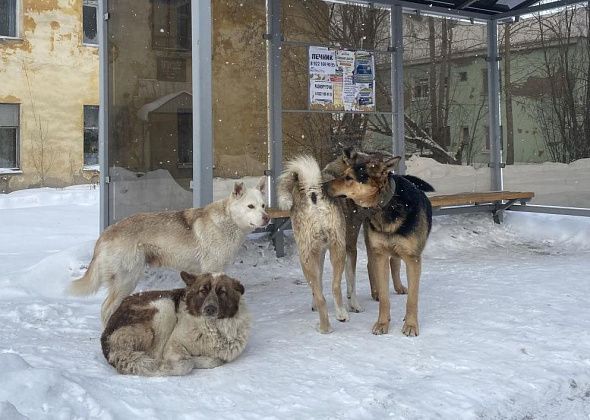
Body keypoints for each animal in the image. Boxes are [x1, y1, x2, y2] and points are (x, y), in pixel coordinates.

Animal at [68, 177, 270, 324]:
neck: (229, 222)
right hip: (128, 279)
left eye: (263, 206)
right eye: (250, 206)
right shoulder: (211, 269)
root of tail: (106, 232)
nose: (267, 218)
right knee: (106, 308)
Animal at [102, 272, 250, 378]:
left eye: (222, 292)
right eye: (203, 291)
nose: (210, 309)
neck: (211, 329)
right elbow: (190, 361)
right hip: (164, 306)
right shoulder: (173, 344)